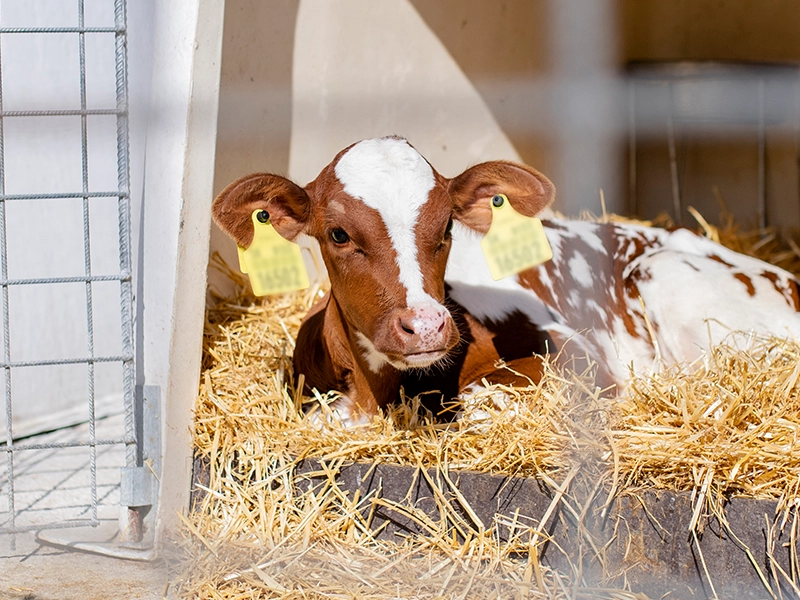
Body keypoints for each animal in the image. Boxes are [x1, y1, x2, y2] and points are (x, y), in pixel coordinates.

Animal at [214, 137, 800, 426]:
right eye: (338, 233)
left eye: (447, 226)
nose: (426, 326)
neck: (376, 392)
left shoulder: (583, 354)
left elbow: (478, 400)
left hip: (667, 274)